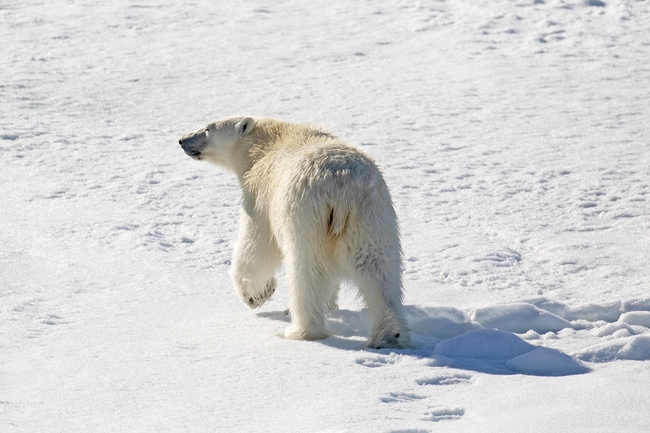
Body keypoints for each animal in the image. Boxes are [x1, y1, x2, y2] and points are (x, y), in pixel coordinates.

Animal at [179, 116, 410, 348]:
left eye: (207, 129)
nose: (182, 140)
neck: (266, 144)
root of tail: (341, 185)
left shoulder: (260, 197)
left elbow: (255, 247)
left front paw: (257, 294)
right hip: (370, 216)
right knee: (378, 269)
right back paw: (389, 335)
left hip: (306, 216)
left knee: (307, 272)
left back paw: (301, 330)